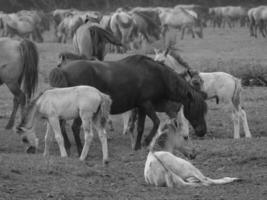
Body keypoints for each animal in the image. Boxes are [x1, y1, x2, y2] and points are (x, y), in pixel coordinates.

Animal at [49, 54, 209, 154]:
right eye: (197, 108)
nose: (202, 131)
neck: (157, 75)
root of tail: (63, 70)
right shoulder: (146, 104)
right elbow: (156, 122)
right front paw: (146, 141)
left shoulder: (141, 107)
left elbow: (140, 127)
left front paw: (137, 146)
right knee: (74, 127)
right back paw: (80, 149)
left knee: (63, 125)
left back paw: (68, 146)